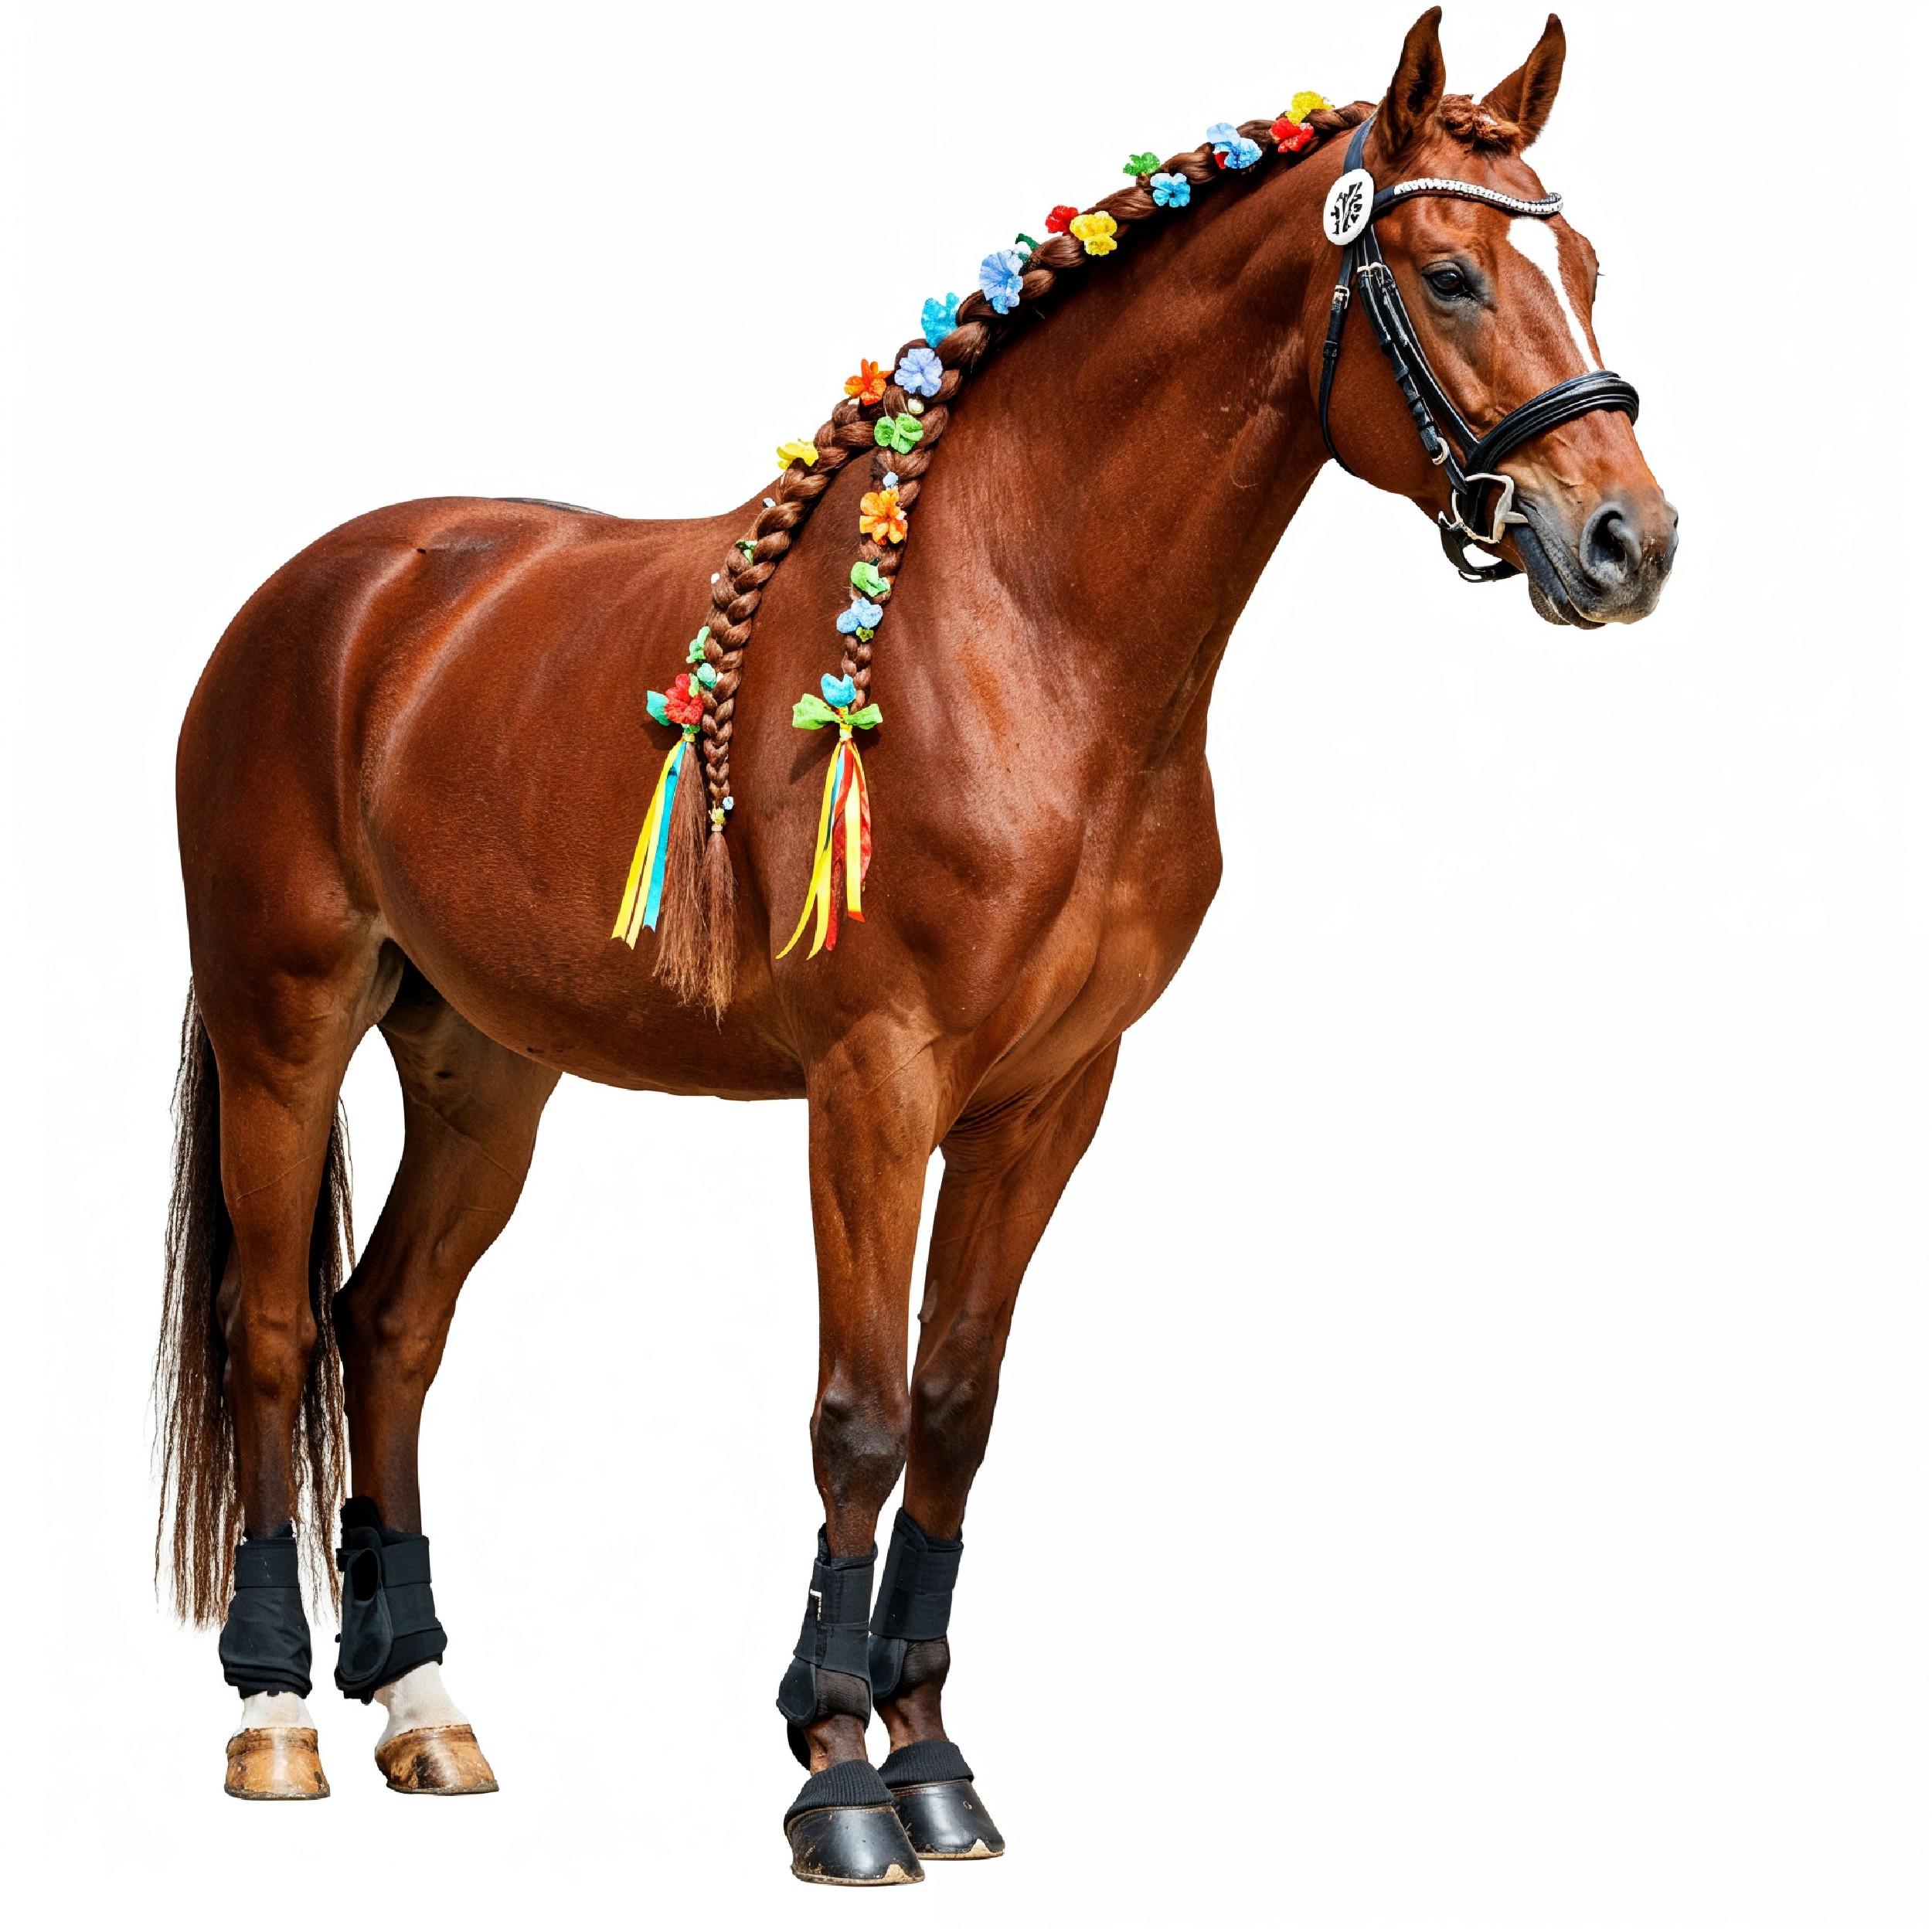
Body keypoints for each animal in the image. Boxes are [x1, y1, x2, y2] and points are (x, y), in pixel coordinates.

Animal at [155, 7, 1676, 1883]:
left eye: (1585, 269)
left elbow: (954, 1406)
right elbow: (858, 1413)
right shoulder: (872, 1084)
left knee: (391, 1328)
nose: (1626, 540)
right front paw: (832, 1777)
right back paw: (276, 1714)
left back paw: (427, 1709)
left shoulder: (1049, 1098)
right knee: (273, 1334)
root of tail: (339, 592)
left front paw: (935, 1762)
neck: (1015, 631)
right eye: (1452, 274)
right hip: (281, 1021)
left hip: (482, 1064)